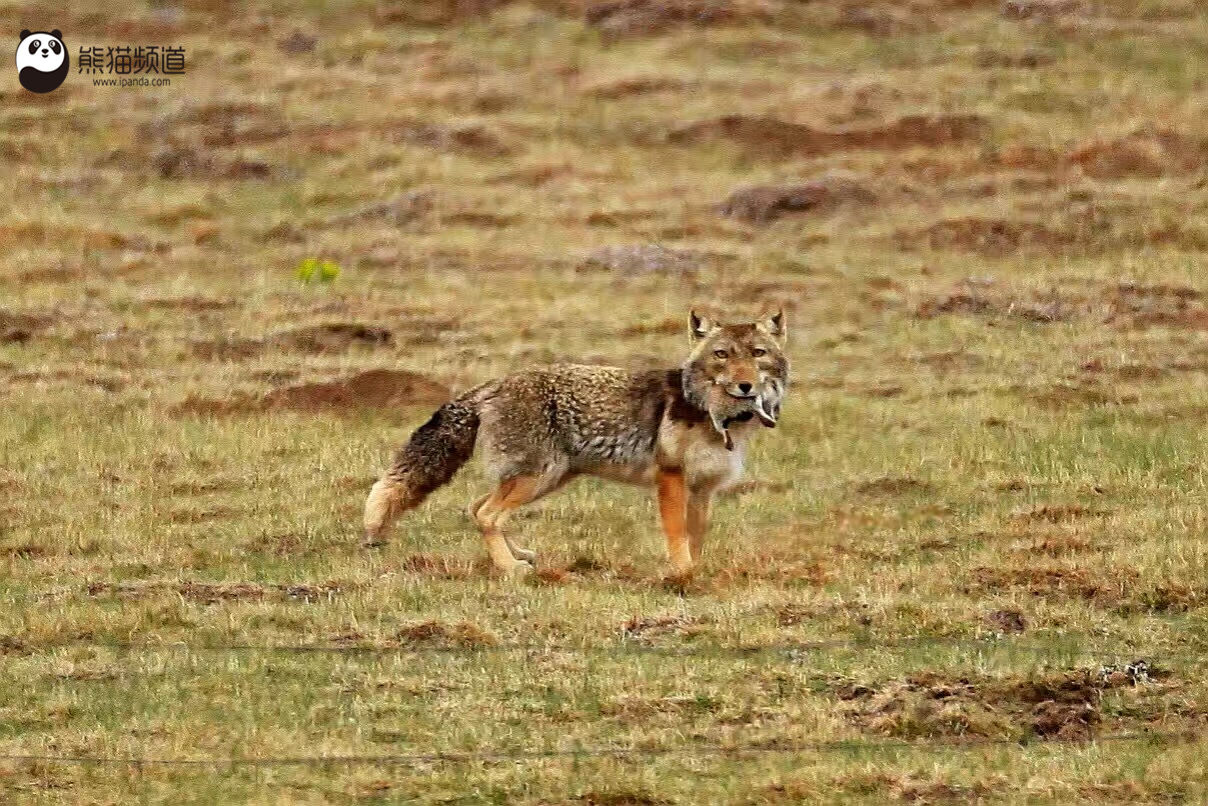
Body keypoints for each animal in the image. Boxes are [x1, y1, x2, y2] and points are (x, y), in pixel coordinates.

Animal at [362, 306, 787, 572]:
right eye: (722, 355)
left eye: (758, 354)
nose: (745, 385)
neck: (715, 417)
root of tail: (494, 384)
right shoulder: (671, 478)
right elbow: (677, 533)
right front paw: (682, 573)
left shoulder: (704, 488)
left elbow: (696, 535)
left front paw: (697, 572)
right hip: (536, 477)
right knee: (487, 514)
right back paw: (511, 568)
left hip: (544, 480)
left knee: (477, 507)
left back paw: (519, 556)